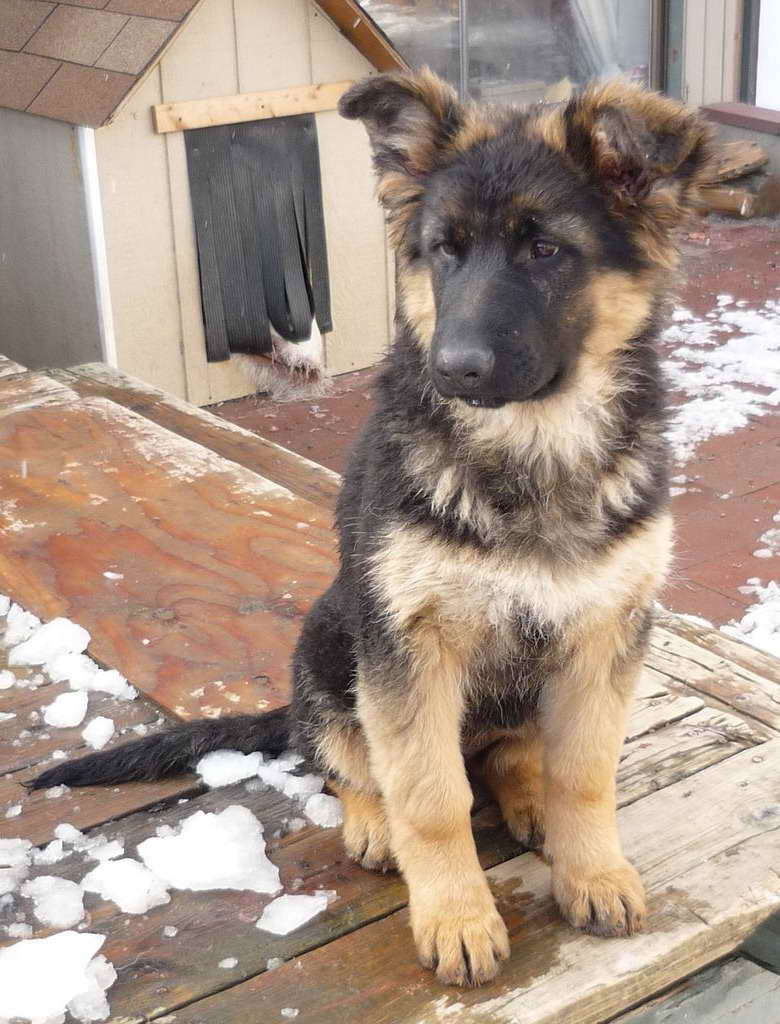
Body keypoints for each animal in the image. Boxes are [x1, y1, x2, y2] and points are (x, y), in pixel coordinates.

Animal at [31, 70, 712, 983]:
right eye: (444, 251)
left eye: (546, 251)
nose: (454, 370)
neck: (533, 445)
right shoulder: (406, 645)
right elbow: (429, 796)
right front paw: (457, 916)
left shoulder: (607, 632)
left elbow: (584, 773)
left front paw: (593, 872)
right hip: (334, 636)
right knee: (345, 761)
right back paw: (371, 823)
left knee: (508, 753)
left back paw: (525, 794)